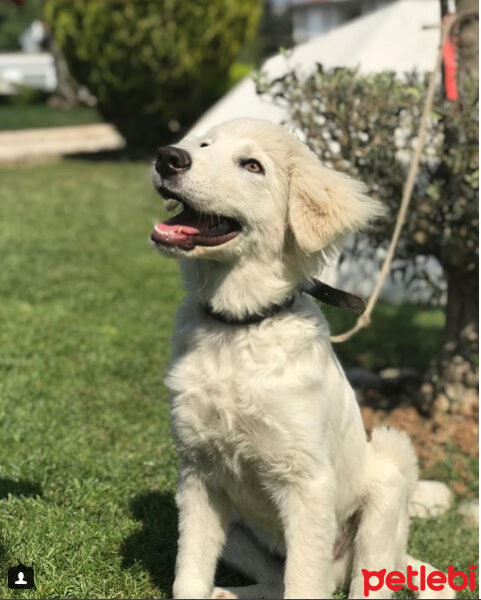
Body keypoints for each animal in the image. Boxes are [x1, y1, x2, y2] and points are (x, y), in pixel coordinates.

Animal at [149, 118, 450, 600]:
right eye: (204, 144)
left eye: (253, 165)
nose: (168, 157)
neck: (239, 326)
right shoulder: (198, 473)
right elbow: (189, 574)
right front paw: (200, 588)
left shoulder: (306, 483)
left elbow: (303, 584)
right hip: (238, 527)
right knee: (277, 580)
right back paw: (226, 593)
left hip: (388, 471)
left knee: (354, 583)